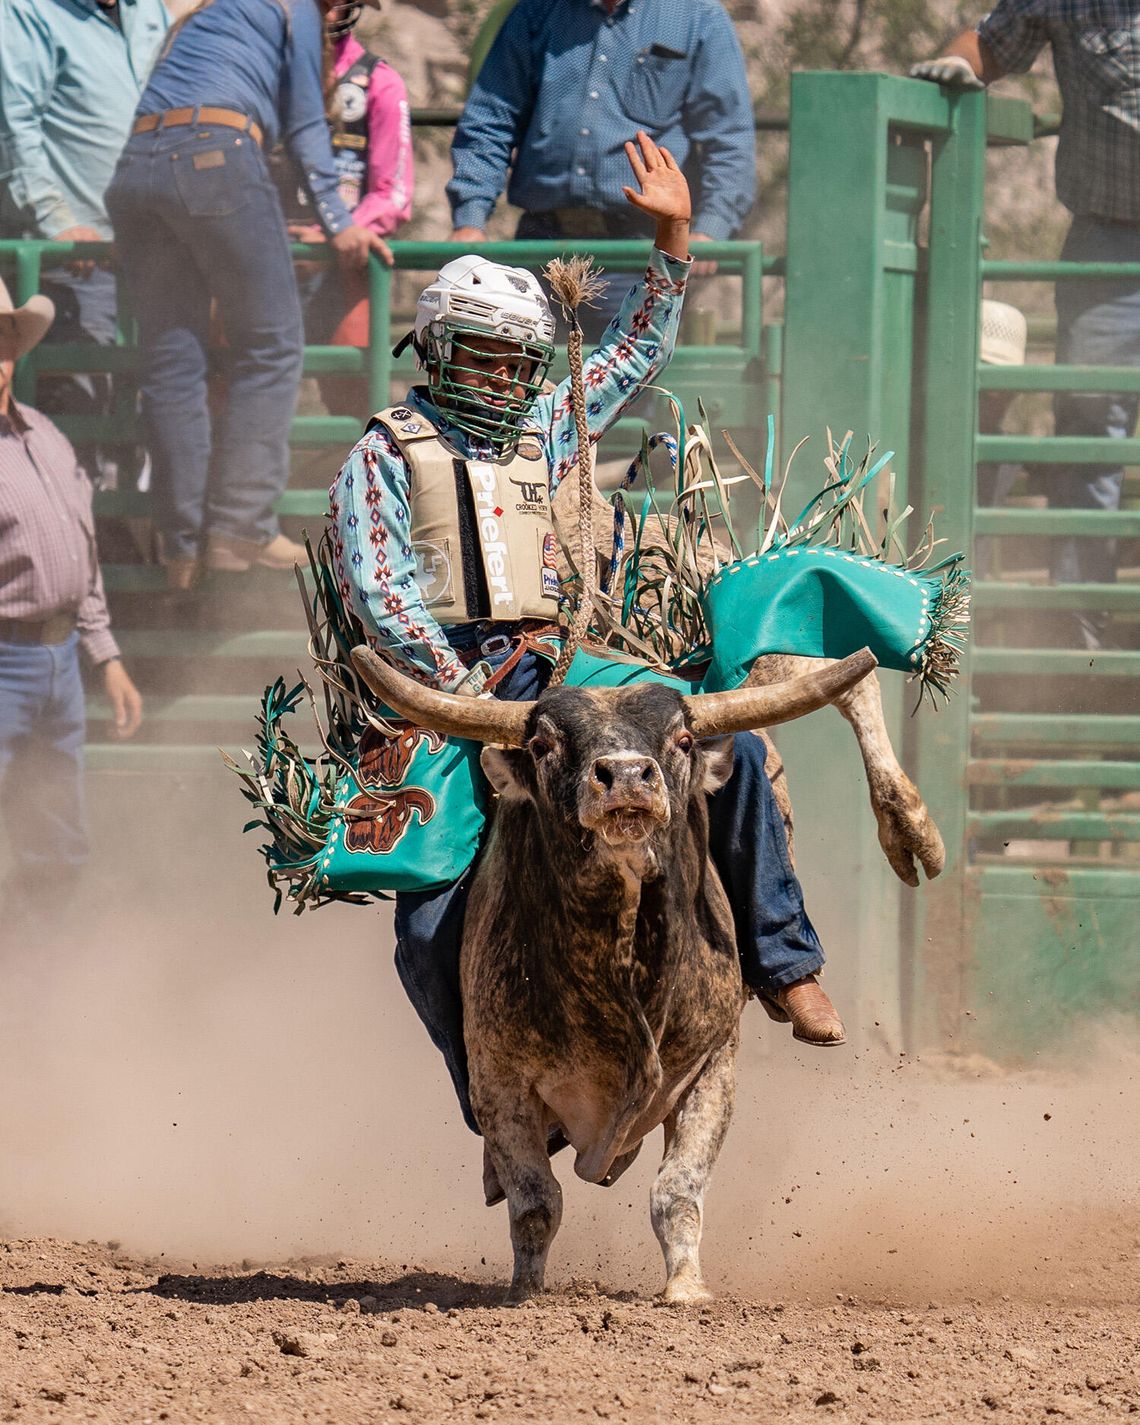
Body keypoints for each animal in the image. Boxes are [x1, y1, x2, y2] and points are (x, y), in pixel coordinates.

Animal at [356, 646, 883, 1305]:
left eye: (682, 739)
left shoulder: (712, 1066)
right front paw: (526, 1292)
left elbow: (677, 1190)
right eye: (543, 745)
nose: (628, 776)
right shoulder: (500, 1082)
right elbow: (537, 1201)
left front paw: (686, 1288)